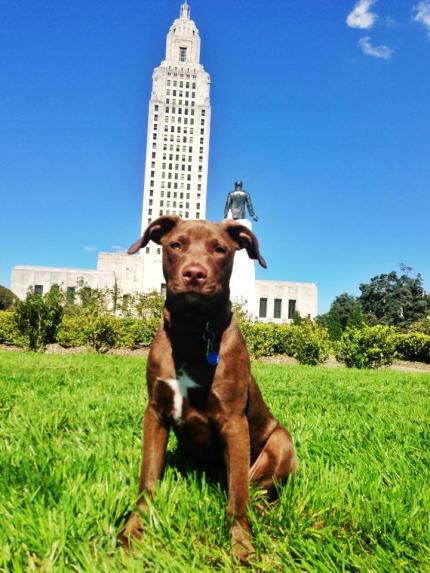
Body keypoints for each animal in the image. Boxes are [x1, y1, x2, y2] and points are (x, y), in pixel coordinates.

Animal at [119, 217, 298, 560]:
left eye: (220, 249)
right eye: (176, 245)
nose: (194, 274)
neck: (192, 332)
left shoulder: (234, 422)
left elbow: (237, 498)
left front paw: (241, 546)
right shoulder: (155, 413)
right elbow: (147, 481)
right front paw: (131, 532)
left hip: (282, 442)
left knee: (257, 491)